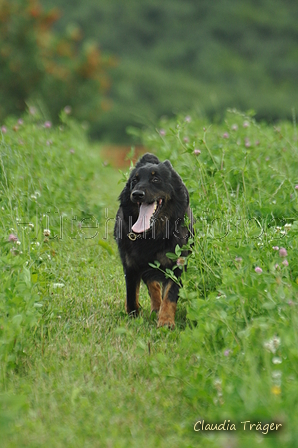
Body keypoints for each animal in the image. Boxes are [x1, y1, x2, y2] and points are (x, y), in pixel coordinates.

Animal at [114, 152, 193, 328]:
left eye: (156, 179)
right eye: (134, 180)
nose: (137, 194)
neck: (152, 235)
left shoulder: (176, 266)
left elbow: (170, 295)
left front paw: (166, 322)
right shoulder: (131, 266)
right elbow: (131, 296)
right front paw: (133, 318)